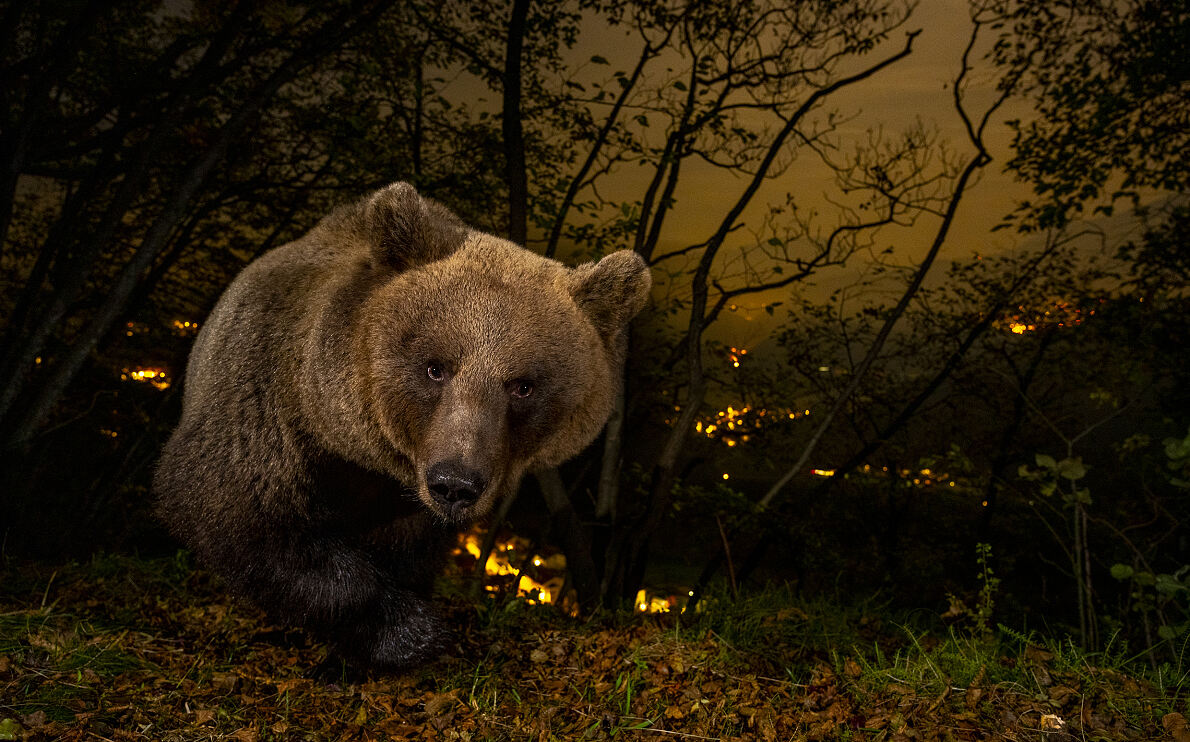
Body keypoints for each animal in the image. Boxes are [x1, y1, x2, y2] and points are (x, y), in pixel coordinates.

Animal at [153, 182, 651, 671]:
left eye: (523, 386)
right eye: (435, 368)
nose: (456, 484)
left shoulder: (410, 504)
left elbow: (408, 552)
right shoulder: (267, 397)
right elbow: (241, 507)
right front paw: (410, 632)